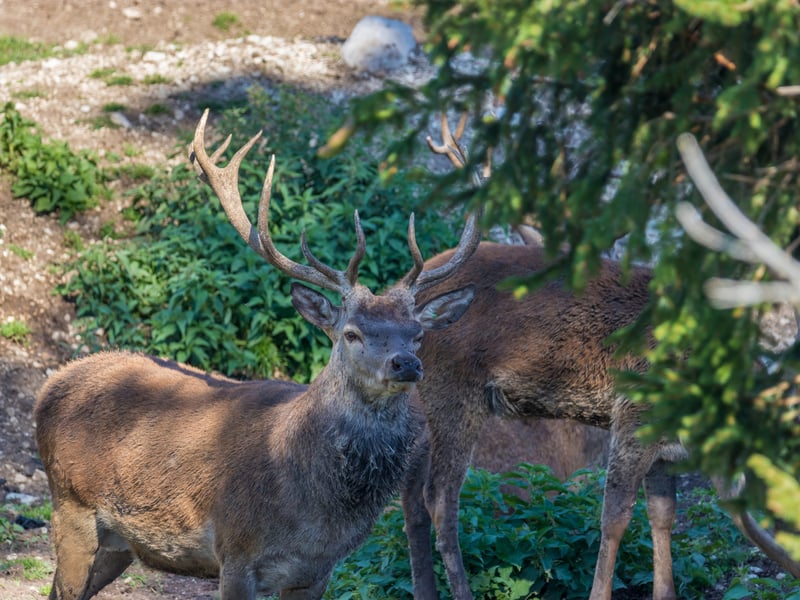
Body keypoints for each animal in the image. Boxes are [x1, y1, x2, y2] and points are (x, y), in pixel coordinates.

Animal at [33, 108, 482, 600]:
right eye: (351, 333)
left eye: (417, 334)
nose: (406, 363)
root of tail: (51, 385)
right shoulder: (236, 551)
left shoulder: (318, 571)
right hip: (71, 505)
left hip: (116, 543)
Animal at [401, 118, 800, 600]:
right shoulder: (635, 414)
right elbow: (615, 517)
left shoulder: (665, 448)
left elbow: (662, 517)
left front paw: (665, 591)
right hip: (453, 392)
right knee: (439, 497)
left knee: (408, 496)